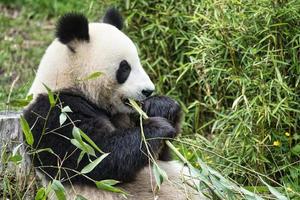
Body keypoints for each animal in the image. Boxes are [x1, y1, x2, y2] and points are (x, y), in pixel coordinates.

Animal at [23, 8, 200, 200]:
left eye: (138, 62)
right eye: (125, 68)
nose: (148, 91)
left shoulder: (123, 115)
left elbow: (160, 157)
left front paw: (161, 106)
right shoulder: (55, 113)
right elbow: (99, 156)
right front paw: (156, 128)